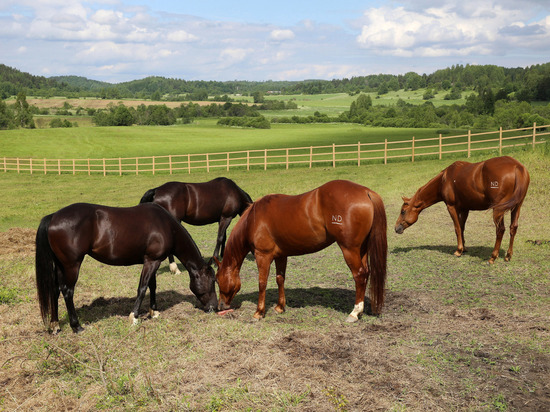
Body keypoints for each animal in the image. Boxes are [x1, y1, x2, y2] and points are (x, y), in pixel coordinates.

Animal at [35, 203, 218, 334]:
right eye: (212, 281)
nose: (215, 307)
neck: (165, 225)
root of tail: (53, 217)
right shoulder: (152, 261)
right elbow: (142, 288)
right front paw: (134, 317)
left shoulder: (153, 260)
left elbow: (152, 286)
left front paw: (154, 311)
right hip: (72, 265)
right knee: (67, 292)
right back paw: (76, 326)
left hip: (61, 266)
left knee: (55, 291)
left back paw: (55, 325)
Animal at [216, 180, 388, 322]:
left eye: (217, 280)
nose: (220, 307)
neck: (253, 219)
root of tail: (366, 191)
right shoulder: (281, 256)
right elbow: (280, 279)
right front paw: (280, 307)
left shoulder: (262, 256)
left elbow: (262, 283)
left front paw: (259, 312)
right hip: (362, 249)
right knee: (366, 273)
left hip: (350, 250)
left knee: (359, 275)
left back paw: (354, 312)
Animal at [396, 156, 532, 262]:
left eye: (403, 211)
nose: (396, 228)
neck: (444, 180)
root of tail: (517, 167)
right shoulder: (465, 208)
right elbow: (462, 228)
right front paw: (464, 248)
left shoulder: (451, 207)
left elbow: (457, 228)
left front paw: (458, 250)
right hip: (517, 207)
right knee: (513, 228)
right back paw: (508, 255)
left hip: (498, 210)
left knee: (500, 230)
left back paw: (493, 257)